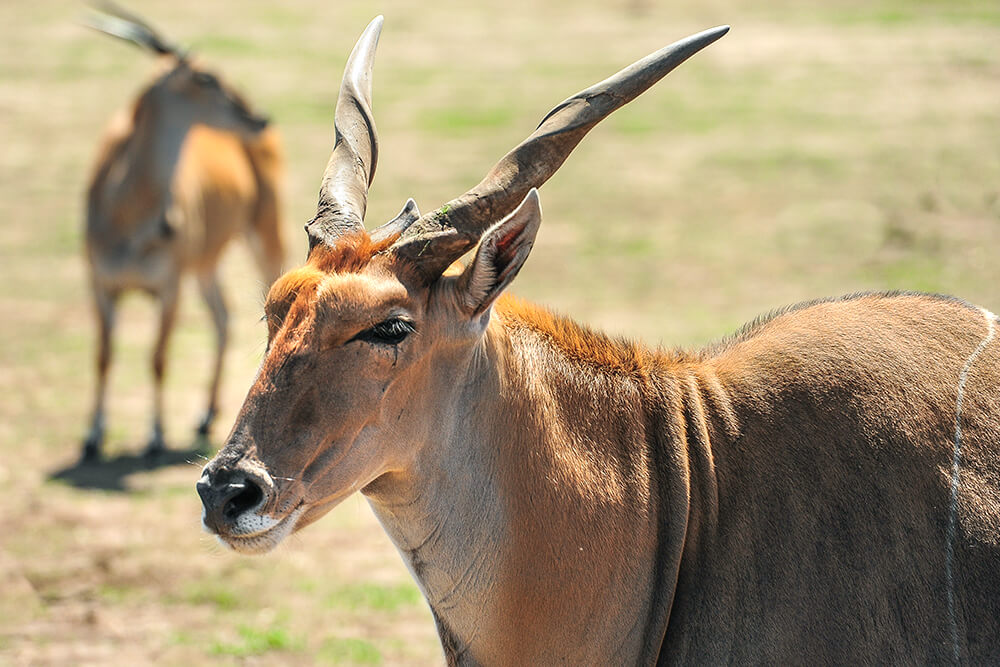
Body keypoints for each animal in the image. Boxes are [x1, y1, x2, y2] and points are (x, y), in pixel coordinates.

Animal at [80, 6, 286, 464]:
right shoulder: (100, 284)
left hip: (265, 233)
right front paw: (92, 438)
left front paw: (155, 437)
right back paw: (205, 417)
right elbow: (102, 355)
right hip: (206, 264)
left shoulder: (169, 286)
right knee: (223, 315)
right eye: (205, 78)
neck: (128, 214)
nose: (259, 117)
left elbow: (158, 357)